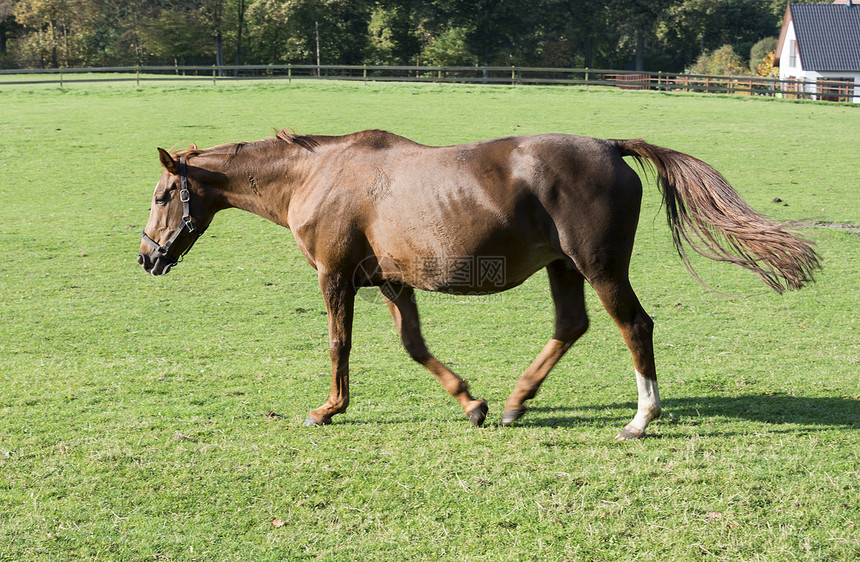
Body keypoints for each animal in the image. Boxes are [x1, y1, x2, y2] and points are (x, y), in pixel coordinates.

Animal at [139, 130, 820, 438]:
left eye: (163, 195)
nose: (147, 258)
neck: (321, 175)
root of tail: (609, 146)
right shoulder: (390, 281)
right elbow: (414, 346)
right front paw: (472, 401)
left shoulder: (337, 277)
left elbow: (339, 345)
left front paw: (329, 408)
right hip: (564, 268)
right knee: (571, 326)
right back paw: (518, 401)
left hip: (599, 267)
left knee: (635, 325)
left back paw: (641, 417)